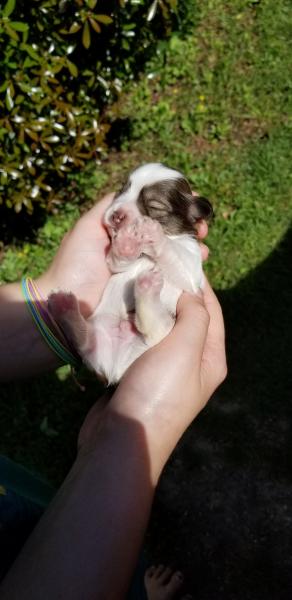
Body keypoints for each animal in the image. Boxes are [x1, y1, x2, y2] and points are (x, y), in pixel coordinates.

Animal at [47, 162, 212, 382]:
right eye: (122, 190)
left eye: (155, 207)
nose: (117, 215)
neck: (145, 254)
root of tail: (118, 368)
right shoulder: (116, 264)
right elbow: (119, 260)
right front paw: (126, 242)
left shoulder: (191, 271)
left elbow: (172, 252)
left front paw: (151, 231)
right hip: (100, 335)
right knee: (85, 343)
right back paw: (64, 307)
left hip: (164, 331)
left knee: (157, 329)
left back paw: (147, 288)